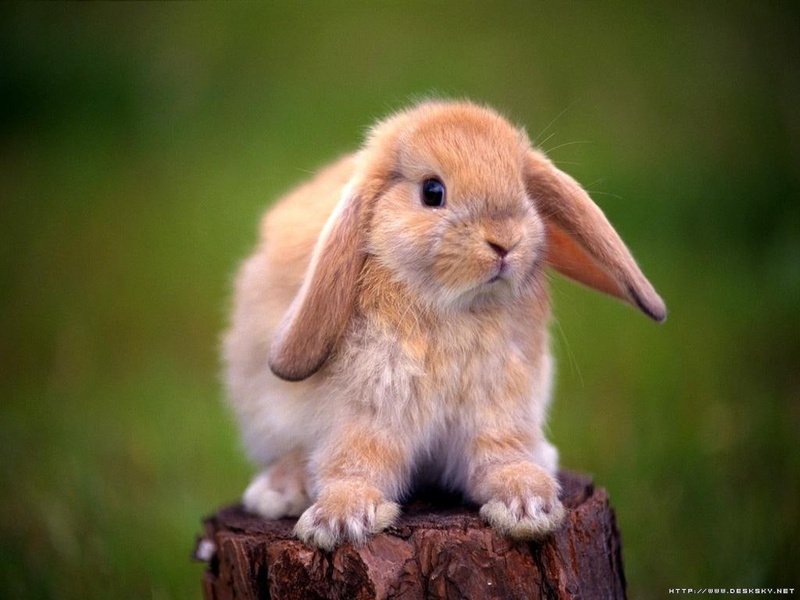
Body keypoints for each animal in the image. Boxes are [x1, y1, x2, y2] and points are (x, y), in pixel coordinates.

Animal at [222, 100, 666, 551]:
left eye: (523, 189)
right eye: (432, 192)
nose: (505, 241)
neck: (455, 306)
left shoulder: (498, 409)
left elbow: (500, 458)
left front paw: (528, 506)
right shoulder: (368, 411)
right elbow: (355, 463)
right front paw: (337, 521)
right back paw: (278, 493)